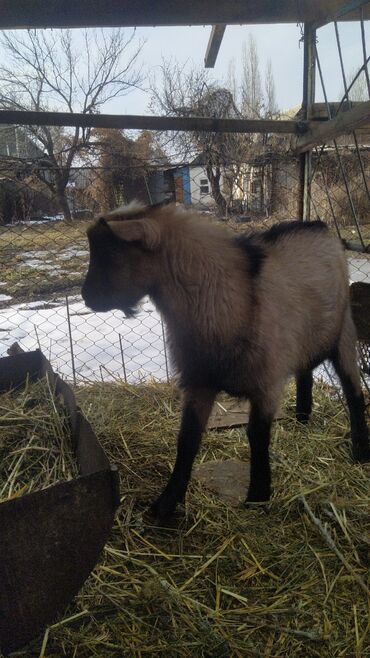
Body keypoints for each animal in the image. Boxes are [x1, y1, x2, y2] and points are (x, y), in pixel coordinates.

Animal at [82, 202, 368, 516]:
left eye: (110, 254)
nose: (86, 298)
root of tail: (319, 226)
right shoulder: (199, 381)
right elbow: (187, 439)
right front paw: (165, 504)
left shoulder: (267, 382)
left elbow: (257, 436)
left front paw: (258, 494)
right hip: (304, 339)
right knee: (305, 372)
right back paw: (302, 418)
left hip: (344, 334)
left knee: (353, 392)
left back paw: (359, 450)